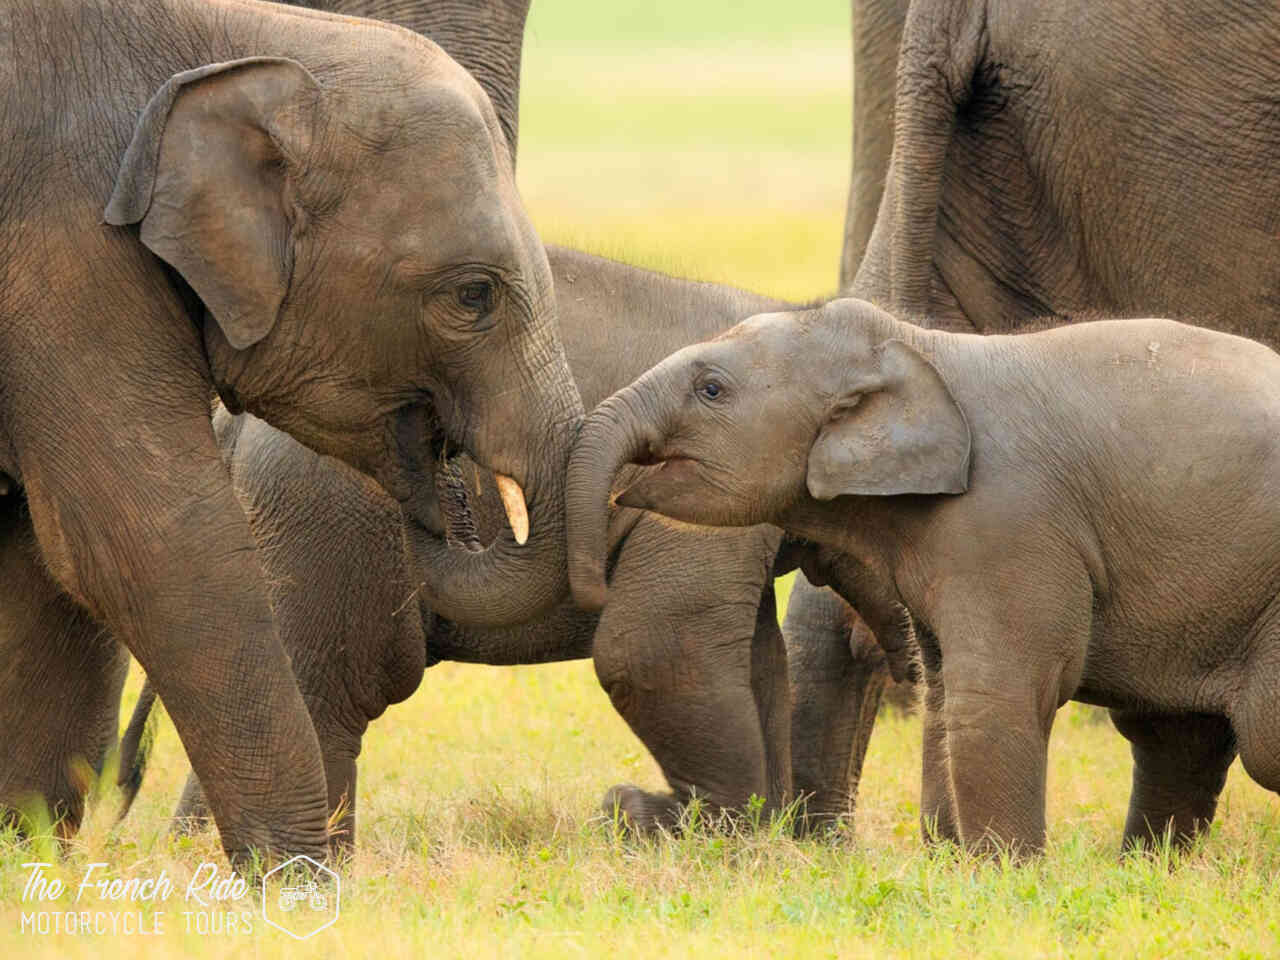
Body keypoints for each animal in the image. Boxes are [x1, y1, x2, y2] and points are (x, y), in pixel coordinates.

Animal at [0, 0, 581, 865]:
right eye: (474, 295)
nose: (444, 473)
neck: (249, 38)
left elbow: (40, 562)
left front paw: (27, 860)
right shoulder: (66, 254)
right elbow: (144, 546)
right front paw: (300, 881)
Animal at [573, 299, 1280, 855]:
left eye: (712, 390)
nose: (594, 582)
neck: (916, 346)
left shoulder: (1009, 520)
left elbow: (994, 692)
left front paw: (1004, 875)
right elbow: (942, 694)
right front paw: (952, 862)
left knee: (1257, 739)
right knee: (1177, 736)